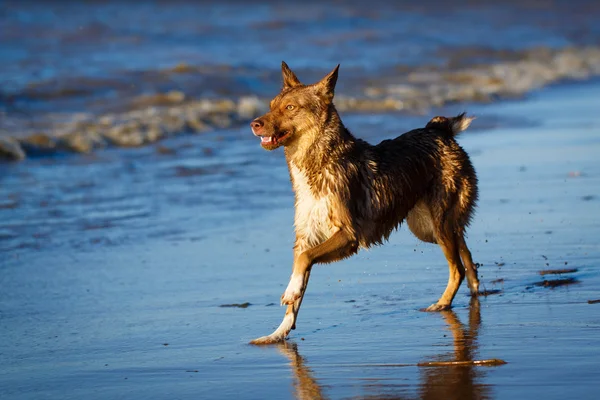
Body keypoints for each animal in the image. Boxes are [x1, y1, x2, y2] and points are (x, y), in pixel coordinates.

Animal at [248, 62, 478, 344]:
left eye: (290, 107)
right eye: (271, 105)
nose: (254, 124)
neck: (319, 163)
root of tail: (439, 130)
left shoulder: (349, 235)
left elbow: (304, 260)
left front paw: (290, 292)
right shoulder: (306, 236)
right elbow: (297, 285)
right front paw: (278, 332)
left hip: (438, 222)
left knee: (456, 266)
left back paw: (443, 303)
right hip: (428, 228)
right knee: (464, 249)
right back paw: (475, 288)